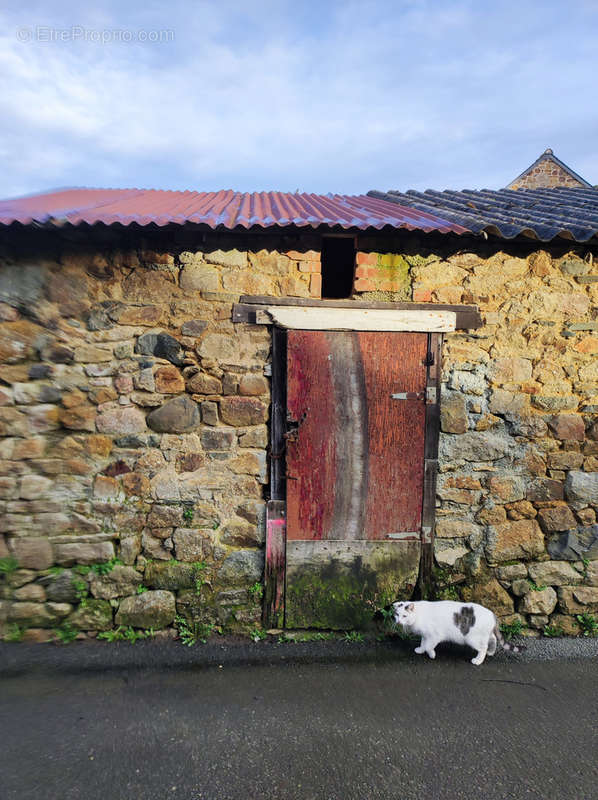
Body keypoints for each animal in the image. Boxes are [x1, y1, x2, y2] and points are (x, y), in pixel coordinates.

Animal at [392, 596, 524, 664]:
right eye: (397, 614)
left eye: (404, 616)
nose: (398, 621)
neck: (419, 615)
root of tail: (492, 614)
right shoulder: (425, 635)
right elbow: (423, 643)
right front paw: (420, 650)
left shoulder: (434, 636)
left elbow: (429, 646)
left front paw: (431, 654)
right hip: (485, 635)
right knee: (493, 639)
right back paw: (491, 652)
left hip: (472, 639)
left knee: (483, 647)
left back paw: (478, 660)